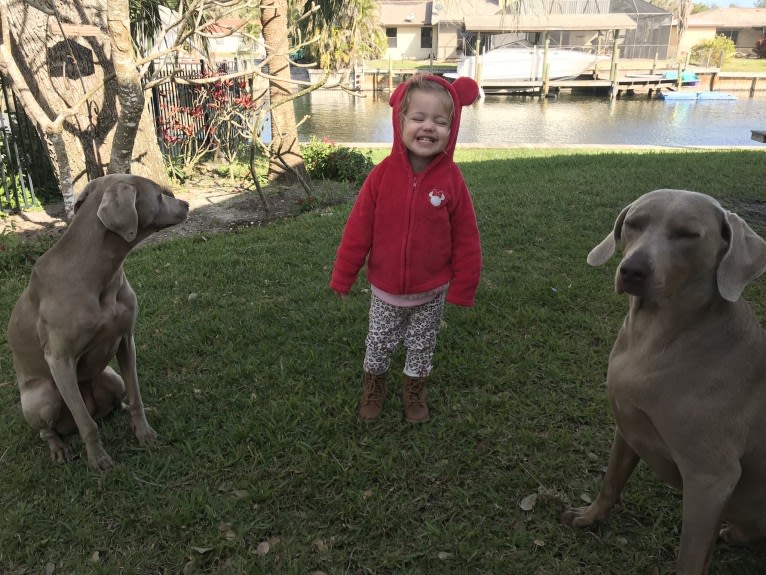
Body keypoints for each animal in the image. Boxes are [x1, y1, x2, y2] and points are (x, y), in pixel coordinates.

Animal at [9, 173, 190, 470]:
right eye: (160, 195)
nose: (186, 204)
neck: (100, 272)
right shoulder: (59, 359)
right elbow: (86, 423)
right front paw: (98, 459)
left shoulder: (126, 339)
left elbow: (136, 395)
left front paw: (144, 433)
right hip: (43, 396)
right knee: (52, 429)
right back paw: (58, 448)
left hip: (111, 378)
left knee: (115, 401)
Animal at [560, 190, 766, 575]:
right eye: (634, 223)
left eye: (687, 234)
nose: (632, 271)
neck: (654, 338)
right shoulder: (627, 426)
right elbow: (612, 479)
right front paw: (591, 516)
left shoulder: (711, 479)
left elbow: (689, 558)